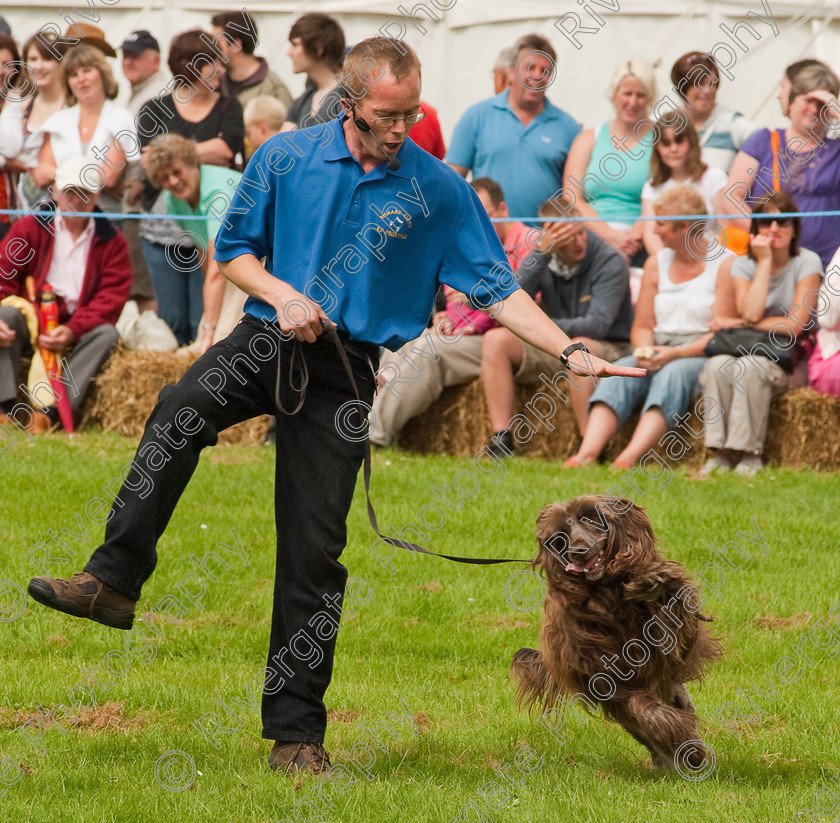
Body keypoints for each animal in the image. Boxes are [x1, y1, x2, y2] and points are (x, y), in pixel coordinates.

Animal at [512, 496, 720, 772]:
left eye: (590, 518)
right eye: (561, 536)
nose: (577, 553)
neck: (606, 592)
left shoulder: (668, 641)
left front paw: (653, 581)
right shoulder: (608, 680)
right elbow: (645, 711)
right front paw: (686, 749)